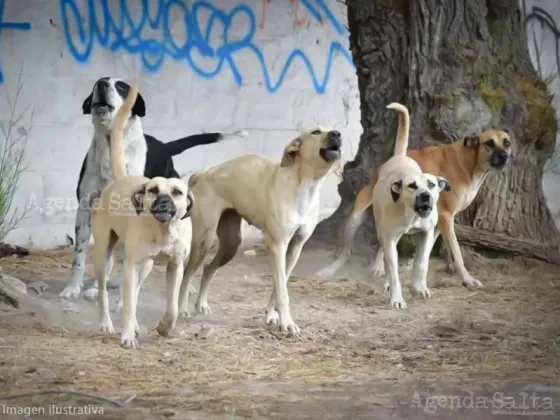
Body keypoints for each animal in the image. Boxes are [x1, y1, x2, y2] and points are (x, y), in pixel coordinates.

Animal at [59, 77, 238, 300]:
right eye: (97, 82)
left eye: (121, 87)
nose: (102, 84)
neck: (111, 147)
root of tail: (164, 146)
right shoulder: (85, 210)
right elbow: (80, 255)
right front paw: (74, 287)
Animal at [91, 80, 195, 350]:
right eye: (153, 190)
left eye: (177, 192)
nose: (164, 201)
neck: (162, 231)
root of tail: (121, 180)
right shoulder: (130, 266)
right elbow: (127, 304)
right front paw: (127, 335)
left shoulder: (175, 266)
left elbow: (172, 307)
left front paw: (165, 327)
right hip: (104, 255)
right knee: (104, 292)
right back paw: (105, 324)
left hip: (146, 266)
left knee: (135, 293)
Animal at [177, 126, 344, 334]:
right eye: (316, 131)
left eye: (333, 129)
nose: (337, 133)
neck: (305, 185)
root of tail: (204, 173)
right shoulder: (278, 246)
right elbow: (282, 291)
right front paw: (287, 322)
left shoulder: (295, 248)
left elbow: (280, 286)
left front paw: (272, 316)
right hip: (203, 241)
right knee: (186, 274)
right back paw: (182, 309)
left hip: (231, 244)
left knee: (208, 268)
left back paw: (201, 304)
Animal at [316, 110, 512, 288]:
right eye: (489, 143)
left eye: (507, 143)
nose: (504, 156)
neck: (469, 161)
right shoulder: (446, 217)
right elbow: (457, 252)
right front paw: (467, 279)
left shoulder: (437, 222)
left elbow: (427, 249)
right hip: (356, 219)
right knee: (347, 251)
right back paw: (330, 269)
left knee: (383, 242)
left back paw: (379, 266)